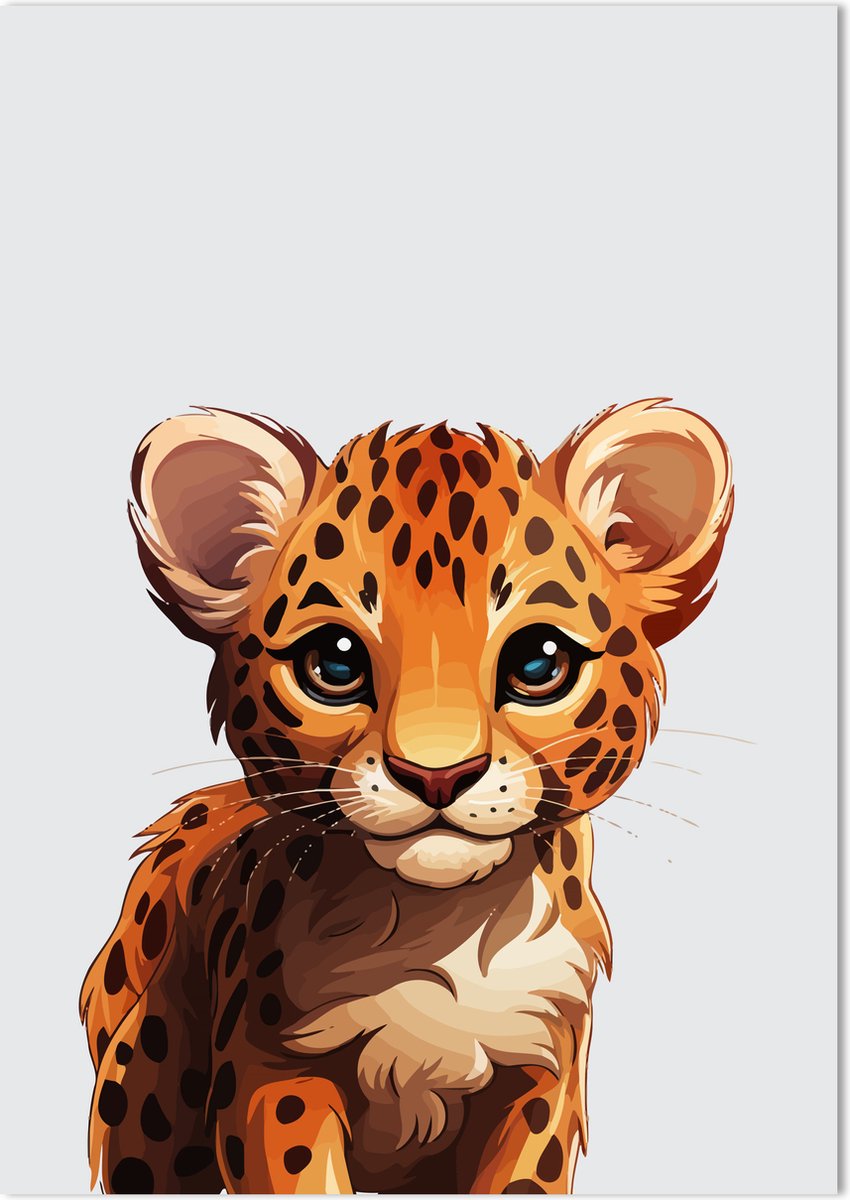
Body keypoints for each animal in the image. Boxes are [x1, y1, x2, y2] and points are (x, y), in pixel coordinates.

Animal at [80, 398, 732, 1194]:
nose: (437, 775)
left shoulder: (538, 1072)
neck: (444, 926)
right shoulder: (273, 1070)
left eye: (539, 661)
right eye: (333, 662)